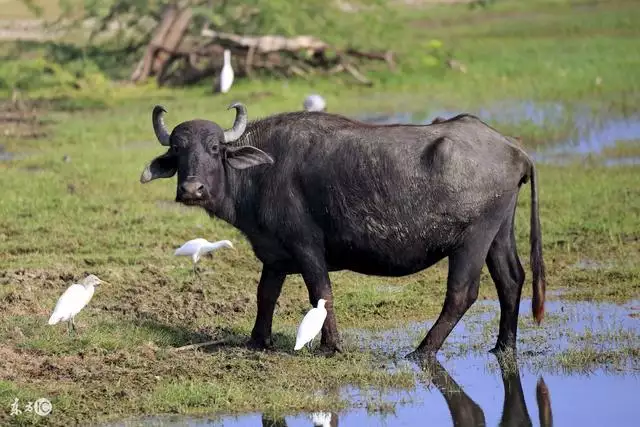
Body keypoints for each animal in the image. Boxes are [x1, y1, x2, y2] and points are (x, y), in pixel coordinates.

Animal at [140, 103, 544, 358]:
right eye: (177, 150)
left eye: (214, 148)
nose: (192, 190)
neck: (261, 172)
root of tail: (514, 150)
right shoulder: (274, 254)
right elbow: (265, 294)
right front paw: (258, 341)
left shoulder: (306, 247)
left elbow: (322, 293)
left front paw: (330, 346)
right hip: (500, 230)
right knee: (511, 279)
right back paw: (504, 345)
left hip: (473, 239)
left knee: (462, 293)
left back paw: (421, 351)